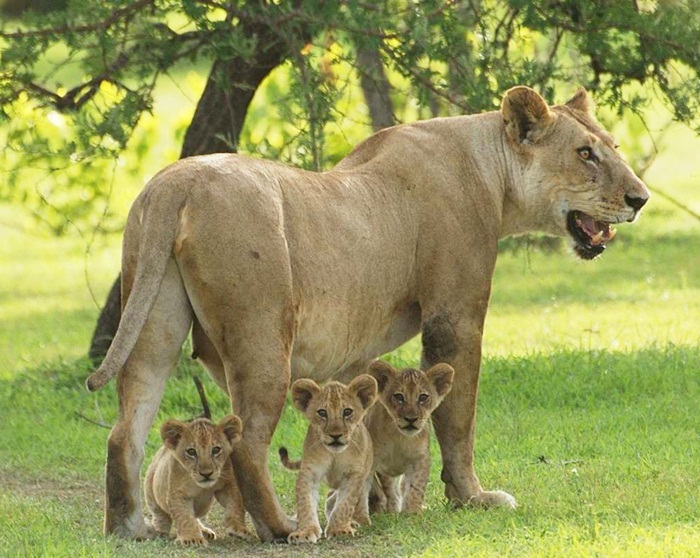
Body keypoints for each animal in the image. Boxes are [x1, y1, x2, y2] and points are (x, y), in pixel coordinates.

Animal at [87, 86, 652, 544]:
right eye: (585, 153)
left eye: (614, 148)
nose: (641, 198)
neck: (490, 167)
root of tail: (174, 183)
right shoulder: (455, 314)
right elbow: (458, 418)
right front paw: (471, 497)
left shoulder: (353, 348)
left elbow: (360, 420)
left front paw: (369, 504)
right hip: (262, 337)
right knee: (245, 442)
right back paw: (282, 528)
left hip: (154, 323)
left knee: (124, 432)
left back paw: (130, 529)